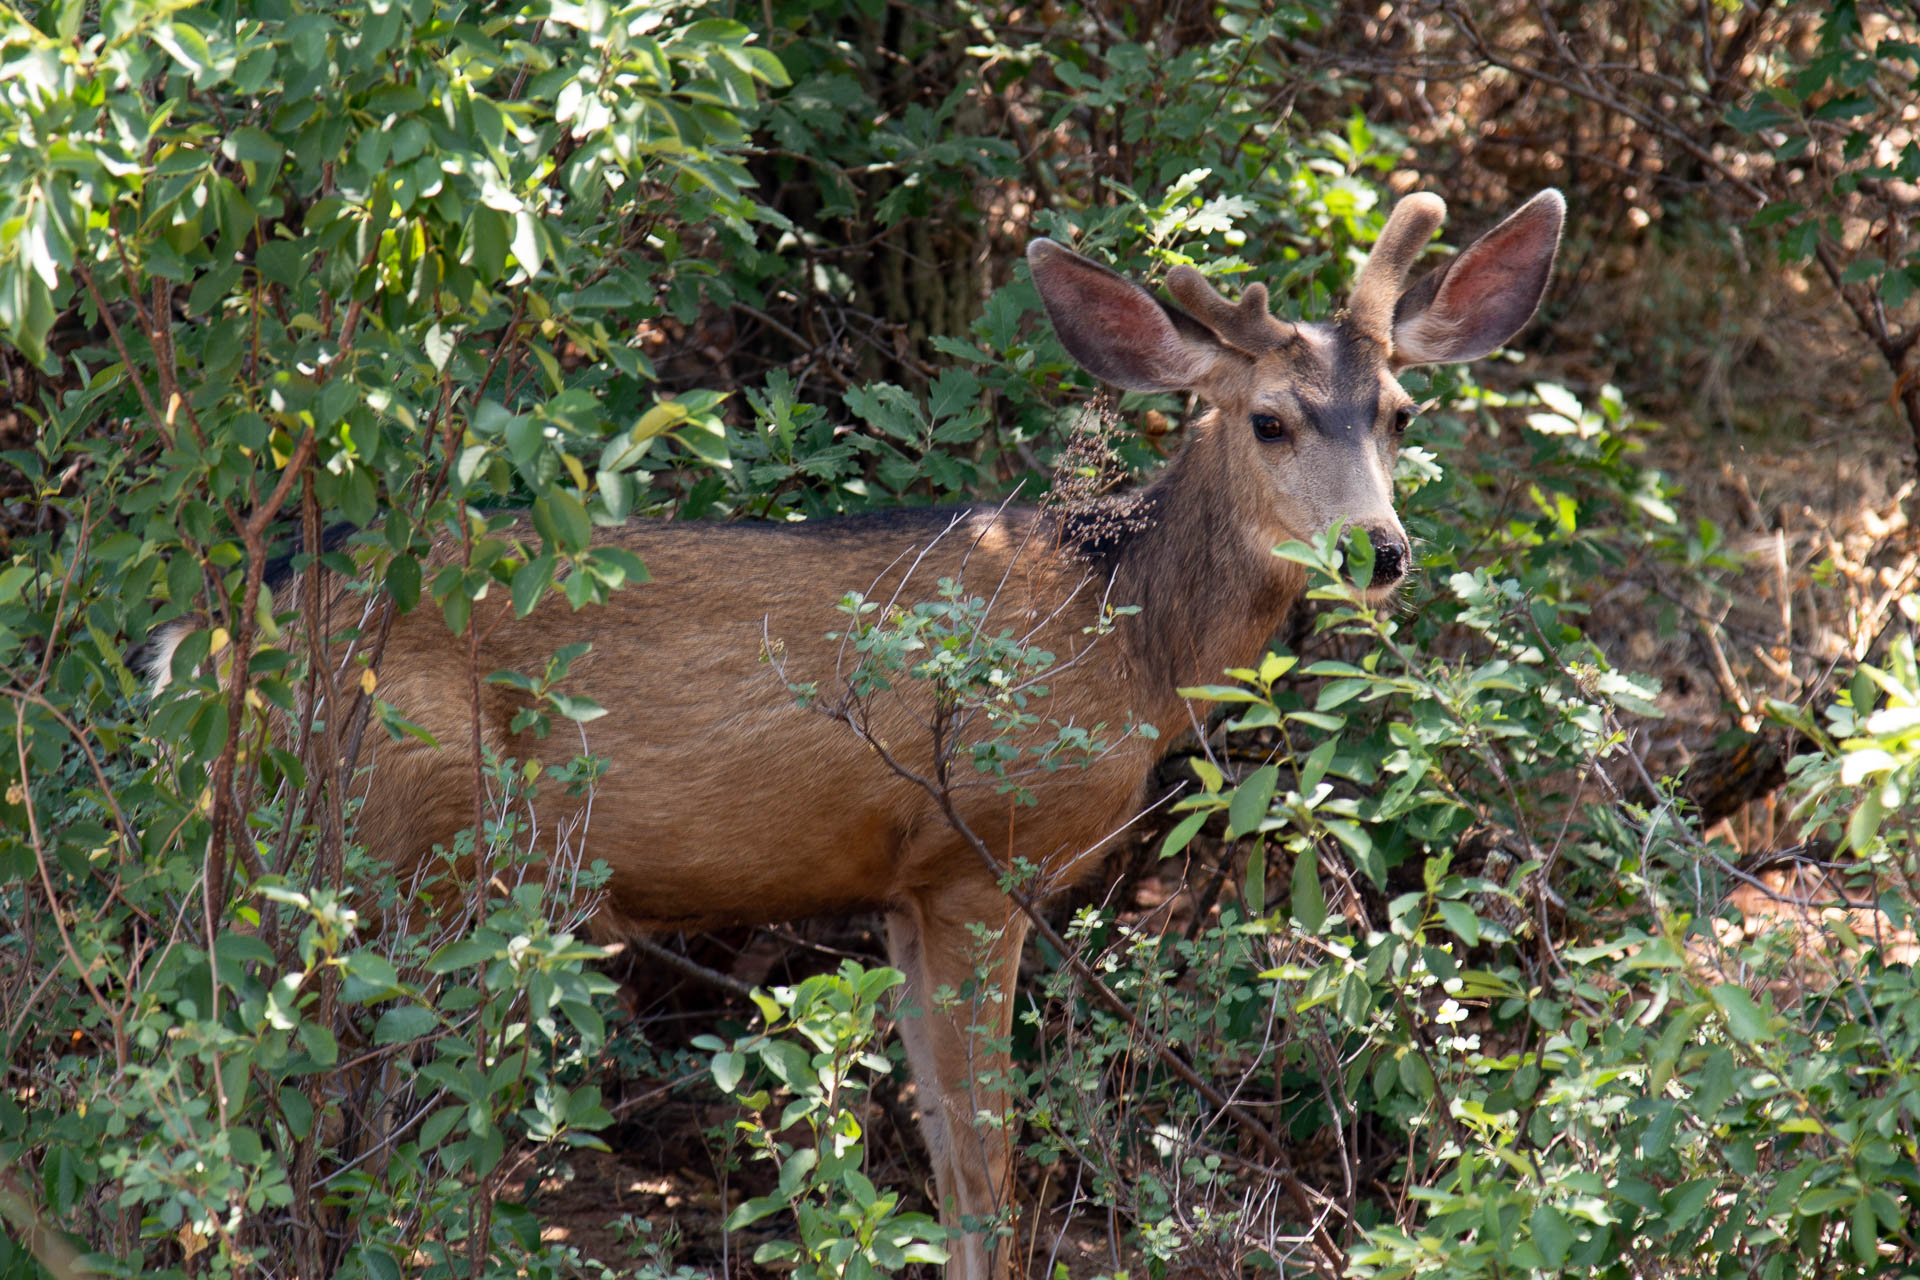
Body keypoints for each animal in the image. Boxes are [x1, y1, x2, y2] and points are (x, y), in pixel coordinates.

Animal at [144, 188, 1563, 1278]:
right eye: (1268, 419)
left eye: (1402, 414)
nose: (1380, 550)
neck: (1125, 637)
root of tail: (208, 644)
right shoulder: (985, 851)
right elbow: (988, 1163)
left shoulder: (900, 886)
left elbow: (942, 1146)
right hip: (405, 834)